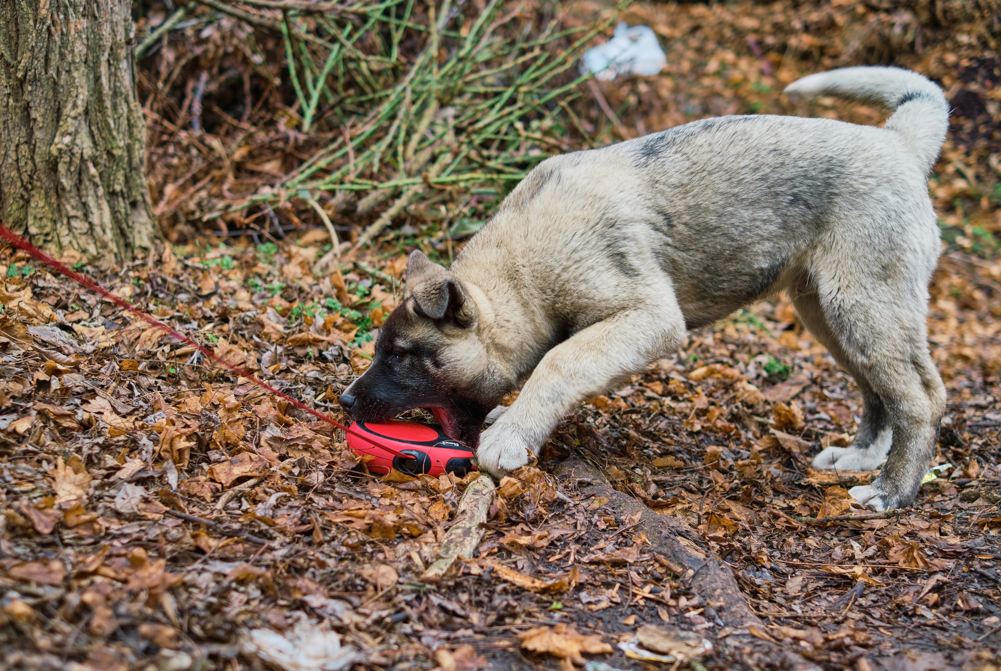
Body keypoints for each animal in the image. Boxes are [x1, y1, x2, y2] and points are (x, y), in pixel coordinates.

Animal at [340, 67, 948, 510]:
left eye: (404, 356)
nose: (344, 401)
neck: (525, 269)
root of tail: (899, 144)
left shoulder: (648, 318)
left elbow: (559, 361)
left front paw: (512, 434)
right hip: (827, 311)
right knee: (879, 390)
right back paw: (860, 457)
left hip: (862, 303)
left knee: (921, 398)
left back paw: (890, 493)